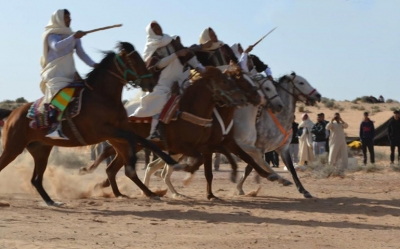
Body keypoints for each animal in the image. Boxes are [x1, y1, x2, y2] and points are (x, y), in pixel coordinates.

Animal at [0, 42, 184, 206]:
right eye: (135, 61)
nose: (150, 83)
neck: (102, 97)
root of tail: (12, 114)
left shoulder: (120, 129)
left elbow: (143, 141)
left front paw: (170, 160)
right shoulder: (103, 131)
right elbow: (131, 142)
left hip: (41, 149)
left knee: (36, 180)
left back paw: (51, 201)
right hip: (13, 147)